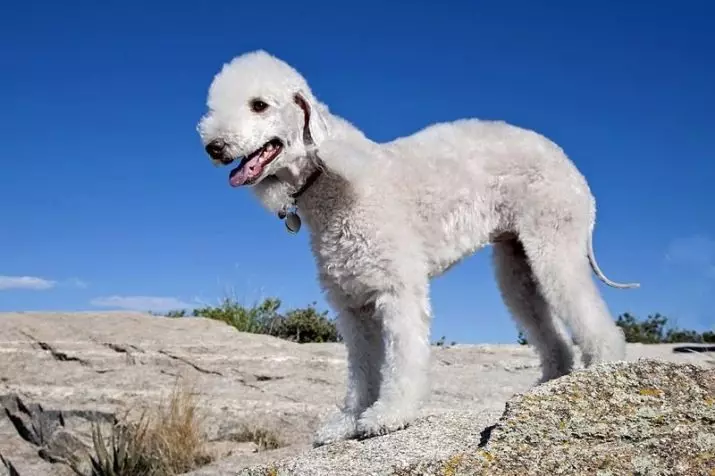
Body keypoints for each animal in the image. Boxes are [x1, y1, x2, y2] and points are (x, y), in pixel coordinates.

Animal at [194, 51, 636, 446]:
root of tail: (569, 165)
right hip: (516, 264)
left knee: (590, 315)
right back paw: (547, 382)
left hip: (554, 243)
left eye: (259, 105)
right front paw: (346, 423)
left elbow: (401, 359)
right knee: (548, 329)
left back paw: (603, 369)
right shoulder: (352, 304)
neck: (332, 182)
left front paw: (387, 416)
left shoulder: (397, 291)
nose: (213, 147)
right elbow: (362, 369)